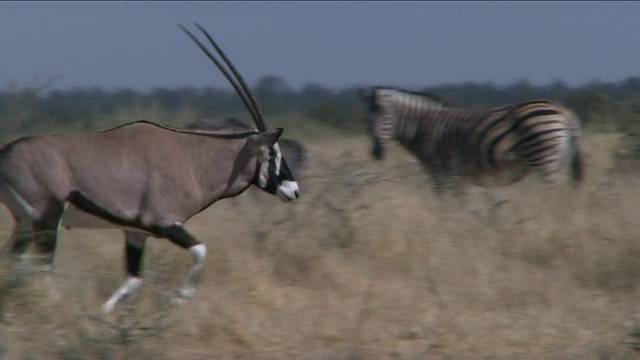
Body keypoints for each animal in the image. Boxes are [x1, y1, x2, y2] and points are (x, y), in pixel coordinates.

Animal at [0, 24, 300, 312]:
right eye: (272, 152)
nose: (294, 190)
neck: (195, 158)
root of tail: (5, 154)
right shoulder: (167, 222)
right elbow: (201, 251)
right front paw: (178, 298)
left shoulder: (136, 233)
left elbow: (133, 280)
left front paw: (103, 313)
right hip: (47, 220)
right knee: (41, 268)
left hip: (26, 223)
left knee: (14, 261)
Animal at [360, 85, 584, 195]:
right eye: (367, 120)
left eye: (387, 118)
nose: (376, 152)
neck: (425, 128)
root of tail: (564, 112)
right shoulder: (456, 175)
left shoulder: (441, 171)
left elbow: (446, 204)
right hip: (560, 160)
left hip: (544, 156)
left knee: (554, 194)